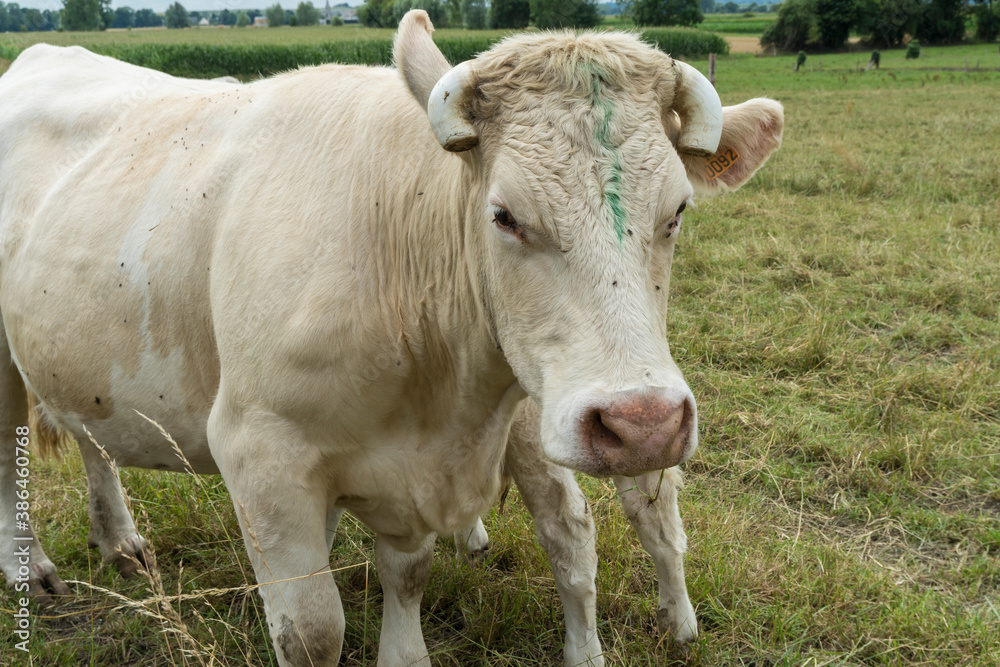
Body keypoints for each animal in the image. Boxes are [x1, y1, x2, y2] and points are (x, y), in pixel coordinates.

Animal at [0, 11, 780, 667]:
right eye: (504, 214)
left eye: (678, 209)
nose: (642, 423)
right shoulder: (260, 452)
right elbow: (312, 630)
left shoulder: (413, 470)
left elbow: (408, 574)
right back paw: (29, 567)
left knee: (89, 435)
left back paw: (118, 540)